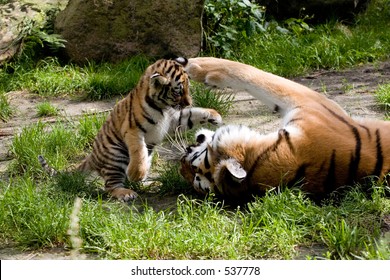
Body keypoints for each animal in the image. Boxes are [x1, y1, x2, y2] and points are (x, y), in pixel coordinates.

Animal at [40, 58, 222, 201]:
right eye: (178, 92)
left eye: (188, 88)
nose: (189, 102)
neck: (162, 107)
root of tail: (92, 157)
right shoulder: (133, 130)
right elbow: (138, 151)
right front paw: (136, 173)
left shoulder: (174, 120)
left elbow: (192, 114)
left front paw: (215, 115)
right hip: (116, 155)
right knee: (110, 186)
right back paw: (126, 192)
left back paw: (148, 182)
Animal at [181, 57, 390, 203]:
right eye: (193, 174)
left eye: (194, 165)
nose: (185, 152)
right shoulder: (313, 104)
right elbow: (255, 76)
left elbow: (254, 75)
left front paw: (193, 65)